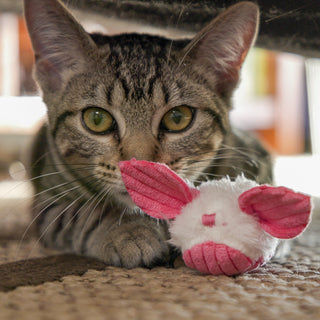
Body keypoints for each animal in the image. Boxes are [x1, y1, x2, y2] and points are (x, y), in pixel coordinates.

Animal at [24, 0, 272, 268]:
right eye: (96, 119)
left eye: (178, 118)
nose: (141, 166)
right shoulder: (49, 204)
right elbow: (86, 213)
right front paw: (129, 232)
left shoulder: (255, 159)